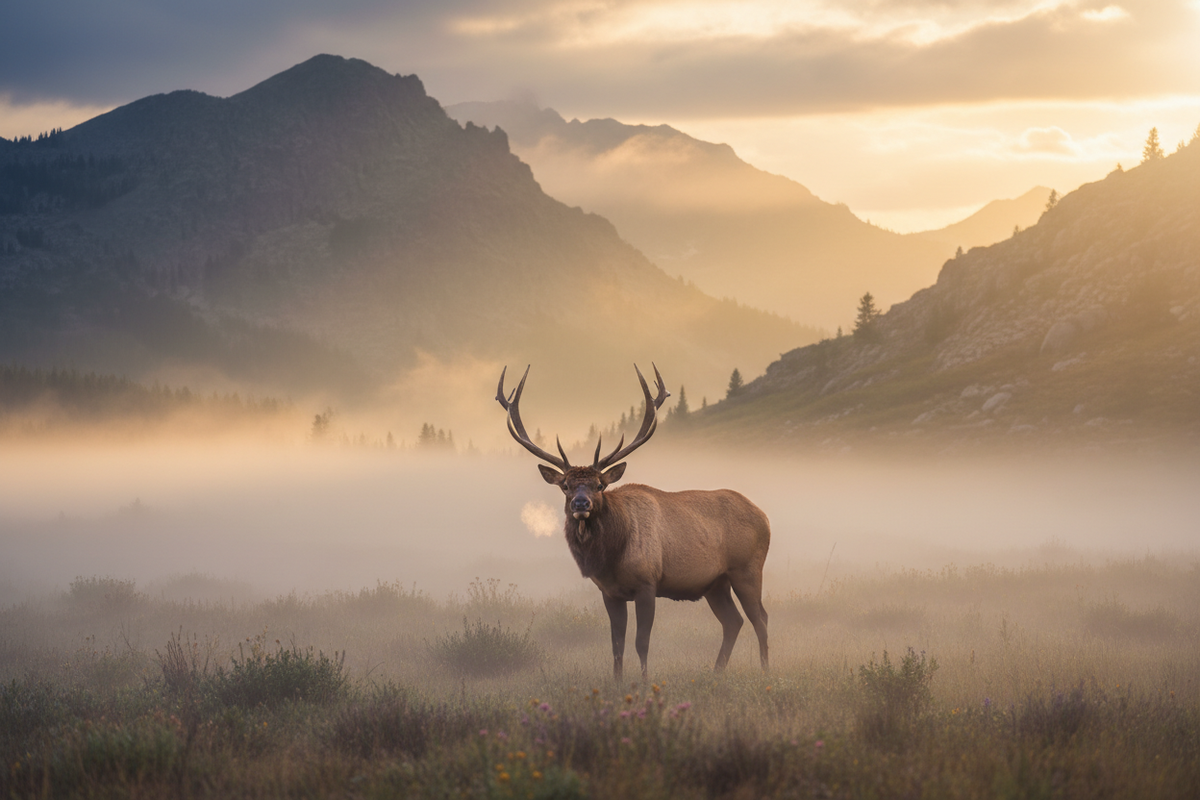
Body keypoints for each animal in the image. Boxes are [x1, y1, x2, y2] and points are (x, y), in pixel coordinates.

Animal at [496, 364, 771, 680]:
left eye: (600, 485)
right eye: (565, 486)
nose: (581, 504)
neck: (612, 557)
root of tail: (764, 516)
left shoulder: (647, 583)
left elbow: (642, 642)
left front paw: (643, 681)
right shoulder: (609, 592)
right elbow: (617, 644)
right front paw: (617, 683)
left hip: (747, 568)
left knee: (760, 618)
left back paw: (765, 670)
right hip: (715, 583)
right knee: (733, 621)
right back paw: (716, 672)